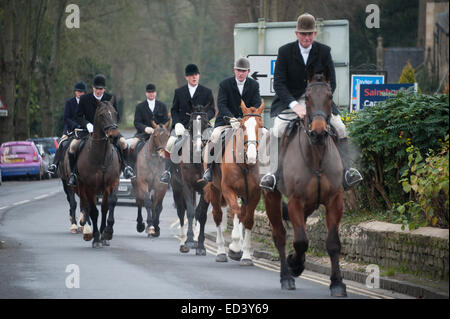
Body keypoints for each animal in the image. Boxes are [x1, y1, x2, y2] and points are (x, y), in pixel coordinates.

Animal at [75, 99, 121, 249]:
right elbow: (94, 211)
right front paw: (96, 238)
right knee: (86, 207)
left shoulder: (112, 183)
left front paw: (108, 232)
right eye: (101, 115)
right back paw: (89, 232)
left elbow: (111, 204)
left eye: (115, 113)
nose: (114, 135)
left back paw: (102, 235)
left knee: (104, 208)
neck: (100, 157)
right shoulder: (89, 187)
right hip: (81, 187)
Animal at [172, 104, 213, 256]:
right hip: (177, 189)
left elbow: (201, 214)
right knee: (181, 212)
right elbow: (189, 212)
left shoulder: (206, 189)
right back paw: (184, 241)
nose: (197, 148)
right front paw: (189, 240)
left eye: (206, 123)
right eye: (191, 124)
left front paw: (200, 245)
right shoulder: (187, 186)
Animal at [204, 101, 264, 266]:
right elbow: (236, 212)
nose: (251, 156)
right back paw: (221, 252)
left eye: (260, 125)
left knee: (242, 215)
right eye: (242, 126)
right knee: (218, 215)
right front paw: (235, 248)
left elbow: (248, 219)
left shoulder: (254, 193)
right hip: (214, 189)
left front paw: (246, 255)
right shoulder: (228, 189)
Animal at [262, 70, 346, 298]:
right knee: (280, 236)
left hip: (309, 204)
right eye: (306, 98)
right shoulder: (295, 201)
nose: (318, 132)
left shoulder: (334, 200)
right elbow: (300, 240)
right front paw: (295, 264)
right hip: (271, 197)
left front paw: (337, 283)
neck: (316, 154)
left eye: (330, 96)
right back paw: (286, 276)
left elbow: (333, 243)